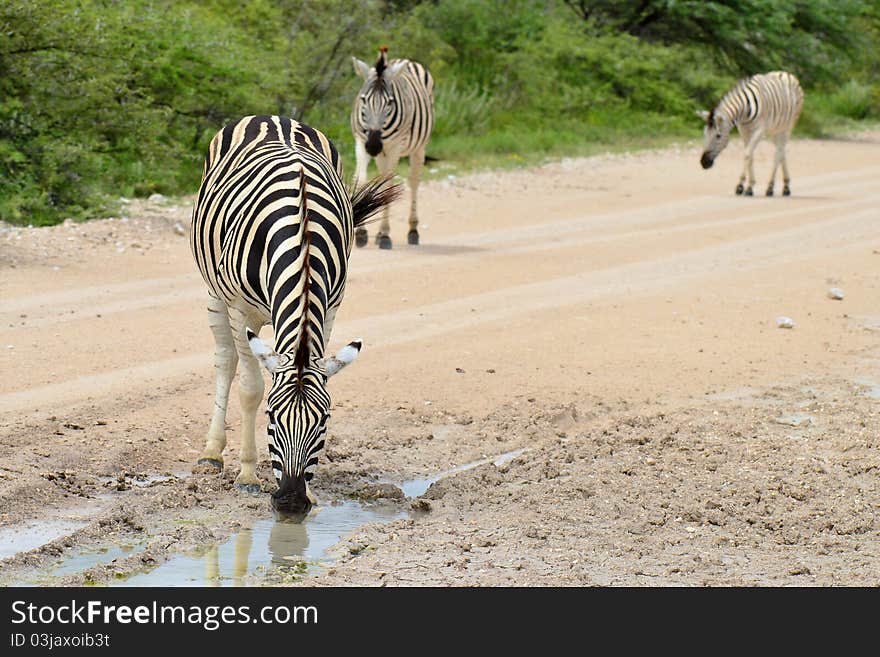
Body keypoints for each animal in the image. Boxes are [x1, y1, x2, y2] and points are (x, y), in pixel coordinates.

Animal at [192, 115, 402, 516]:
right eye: (272, 417)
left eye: (324, 421)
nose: (290, 501)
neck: (302, 242)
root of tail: (272, 117)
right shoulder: (239, 309)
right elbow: (250, 388)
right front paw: (247, 474)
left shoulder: (331, 304)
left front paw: (313, 491)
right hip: (214, 293)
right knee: (225, 361)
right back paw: (212, 453)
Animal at [350, 44, 434, 249]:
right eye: (363, 99)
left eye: (390, 102)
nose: (373, 145)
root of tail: (405, 61)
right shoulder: (360, 142)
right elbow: (361, 179)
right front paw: (361, 232)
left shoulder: (395, 145)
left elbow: (388, 185)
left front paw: (386, 235)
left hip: (418, 147)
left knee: (414, 181)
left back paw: (412, 231)